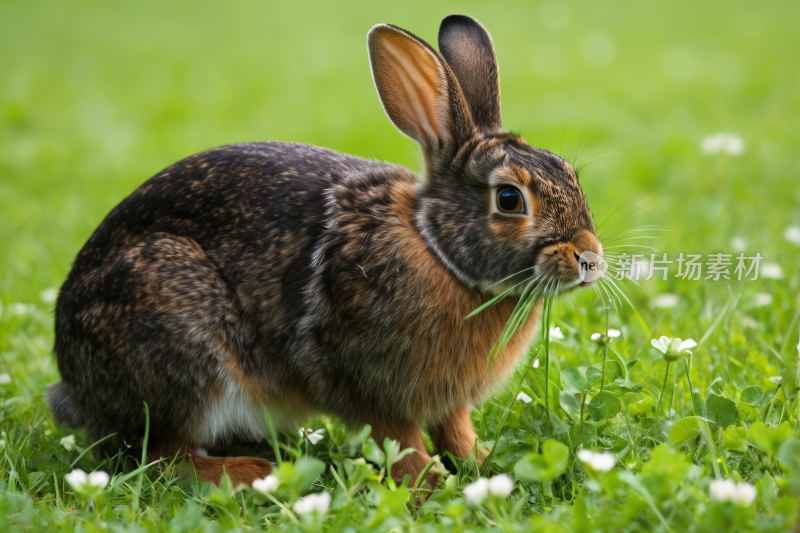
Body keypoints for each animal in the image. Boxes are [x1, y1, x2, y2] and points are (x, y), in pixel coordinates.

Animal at [48, 14, 600, 488]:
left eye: (570, 175)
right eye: (509, 199)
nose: (590, 260)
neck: (436, 249)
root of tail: (75, 386)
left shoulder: (448, 402)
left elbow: (456, 432)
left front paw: (482, 465)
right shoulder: (376, 390)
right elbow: (402, 443)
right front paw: (429, 486)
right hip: (177, 337)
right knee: (164, 454)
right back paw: (250, 471)